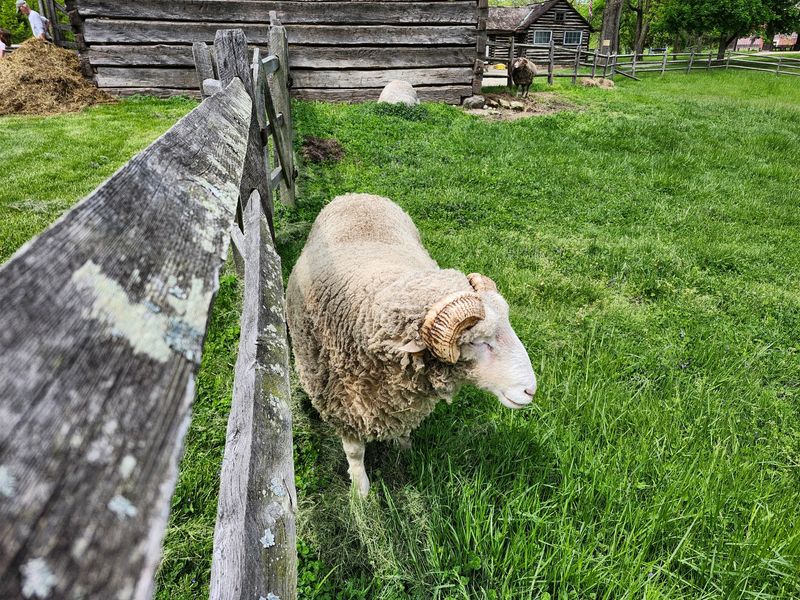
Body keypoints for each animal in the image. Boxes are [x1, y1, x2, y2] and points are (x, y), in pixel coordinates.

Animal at [286, 194, 537, 496]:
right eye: (479, 342)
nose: (531, 390)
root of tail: (358, 194)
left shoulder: (403, 400)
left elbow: (404, 430)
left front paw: (405, 453)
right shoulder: (341, 404)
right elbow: (355, 453)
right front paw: (360, 492)